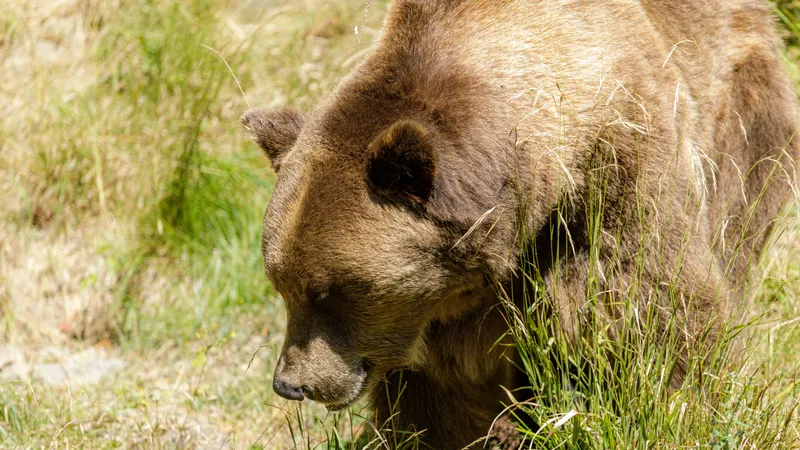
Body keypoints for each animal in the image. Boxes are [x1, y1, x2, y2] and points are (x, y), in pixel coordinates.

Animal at [241, 1, 799, 448]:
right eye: (281, 284)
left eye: (329, 290)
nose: (290, 384)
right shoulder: (447, 301)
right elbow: (445, 389)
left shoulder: (619, 168)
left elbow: (649, 309)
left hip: (741, 123)